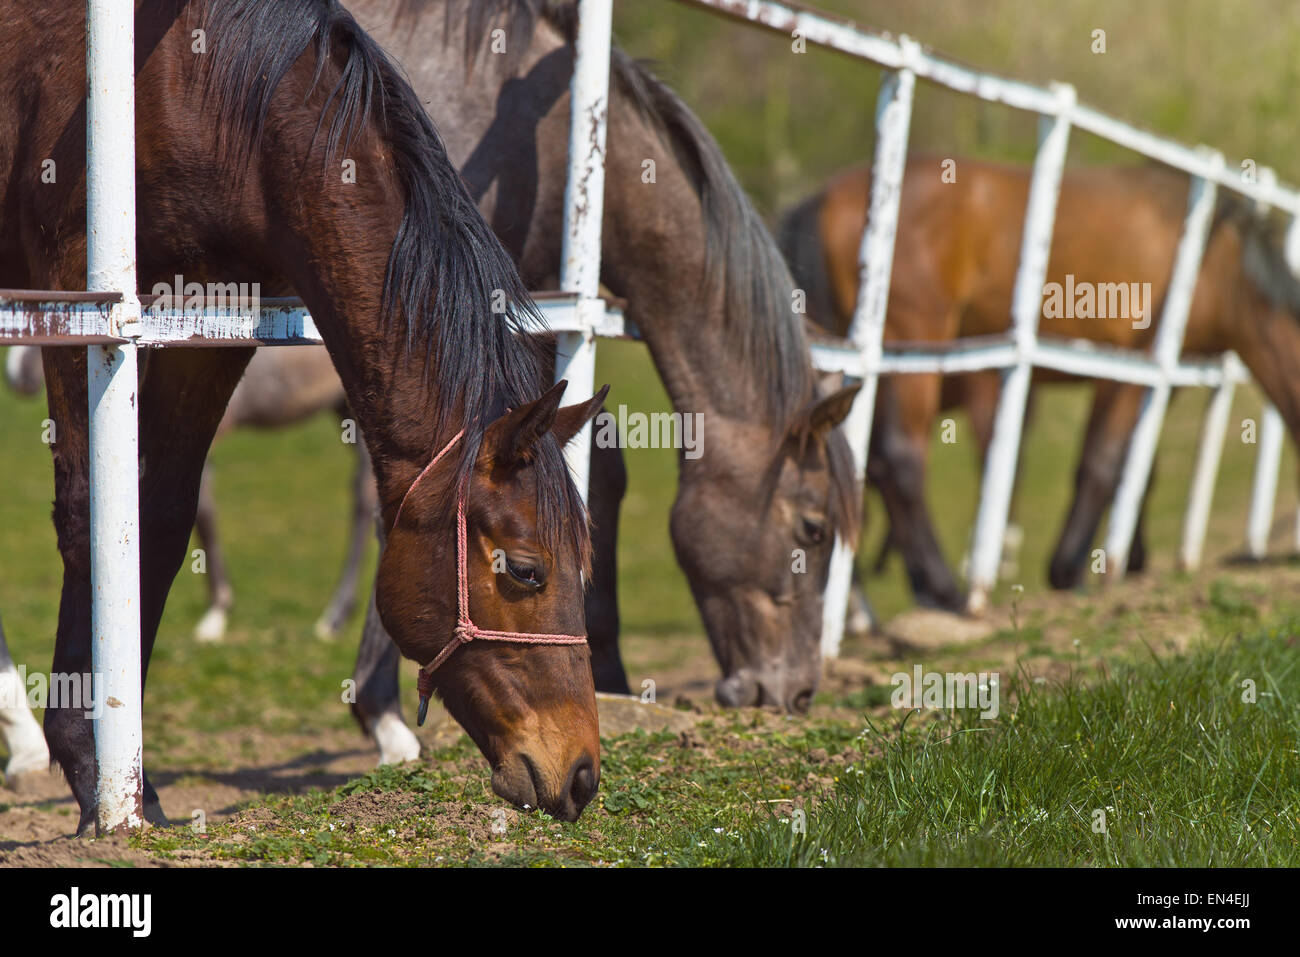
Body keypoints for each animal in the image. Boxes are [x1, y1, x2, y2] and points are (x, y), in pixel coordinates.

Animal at [0, 0, 605, 826]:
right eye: (525, 569)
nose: (580, 773)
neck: (202, 86)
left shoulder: (214, 312)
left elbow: (160, 524)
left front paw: (135, 786)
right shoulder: (74, 288)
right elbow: (92, 517)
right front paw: (94, 772)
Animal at [345, 0, 863, 728]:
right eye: (813, 530)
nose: (795, 693)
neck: (550, 139)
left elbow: (600, 475)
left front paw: (610, 672)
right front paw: (382, 708)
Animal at [774, 156, 1300, 605]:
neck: (1211, 260)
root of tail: (818, 200)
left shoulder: (1157, 386)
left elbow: (1138, 469)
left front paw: (1129, 559)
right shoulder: (1128, 370)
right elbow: (1103, 462)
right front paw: (1071, 570)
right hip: (913, 347)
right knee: (901, 460)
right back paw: (944, 590)